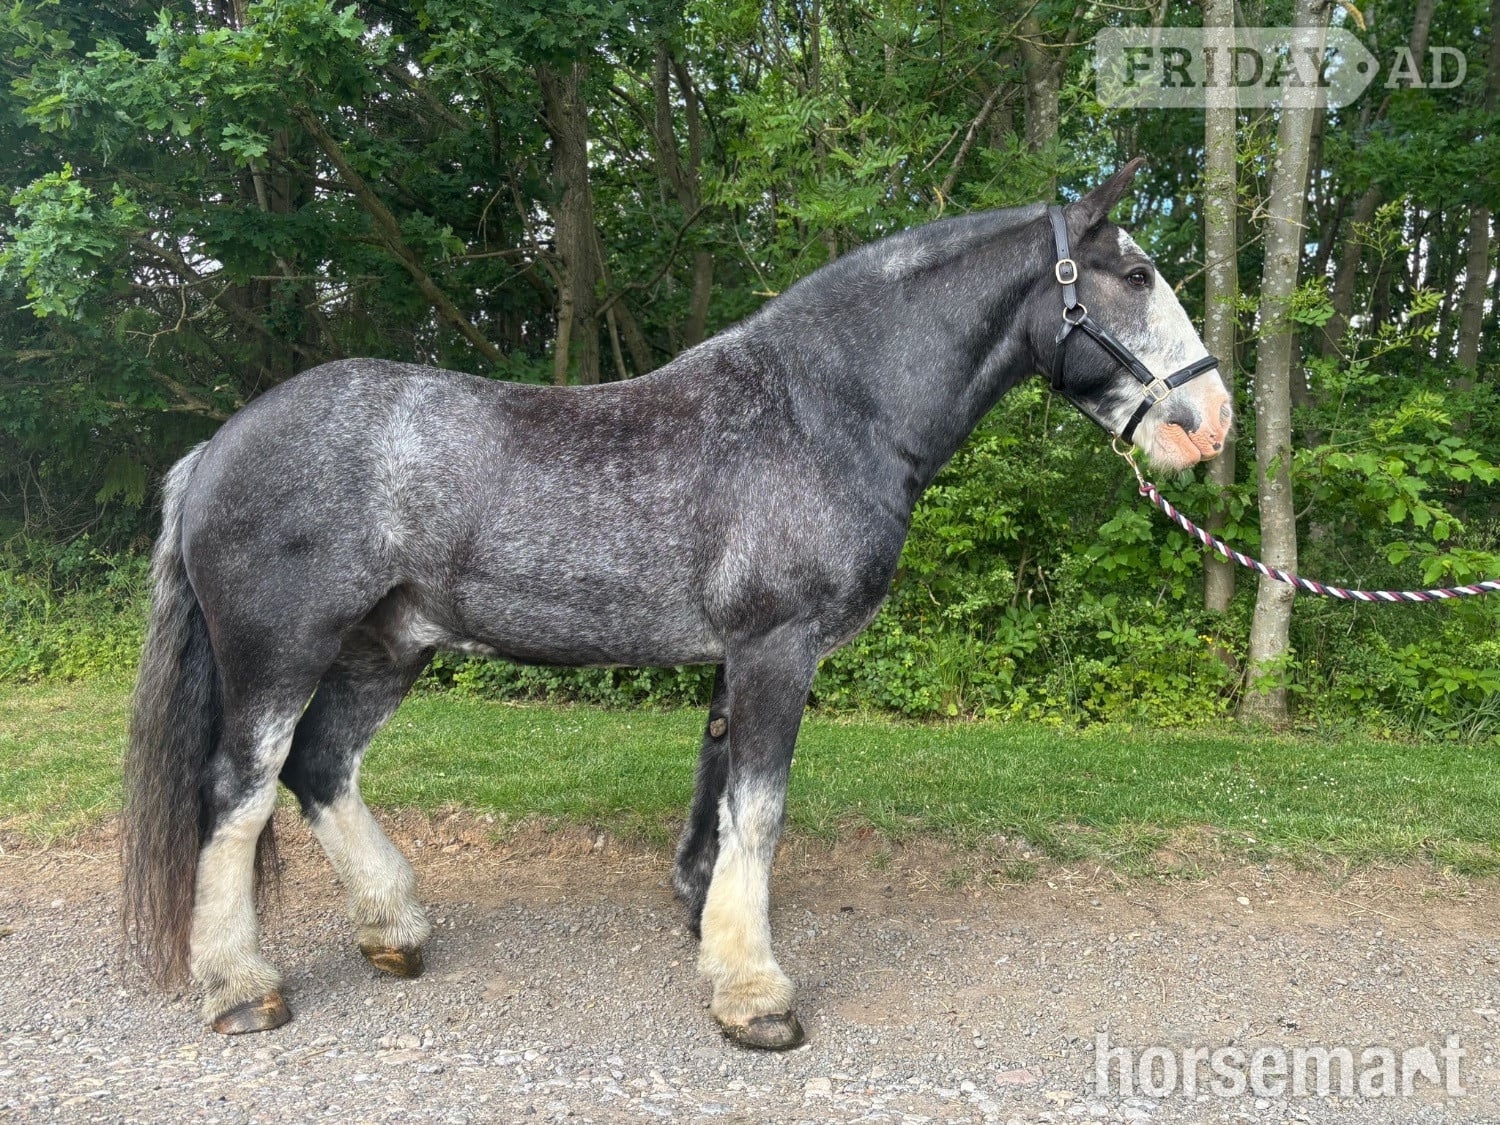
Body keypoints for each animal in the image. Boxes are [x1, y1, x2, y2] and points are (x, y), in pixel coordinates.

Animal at [123, 159, 1231, 1051]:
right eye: (1136, 275)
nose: (1212, 421)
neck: (820, 413)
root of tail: (216, 447)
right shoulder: (780, 649)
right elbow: (762, 812)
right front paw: (756, 996)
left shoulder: (738, 657)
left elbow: (719, 803)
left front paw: (708, 929)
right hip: (279, 653)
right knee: (238, 793)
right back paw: (242, 985)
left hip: (386, 648)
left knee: (320, 767)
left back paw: (394, 930)